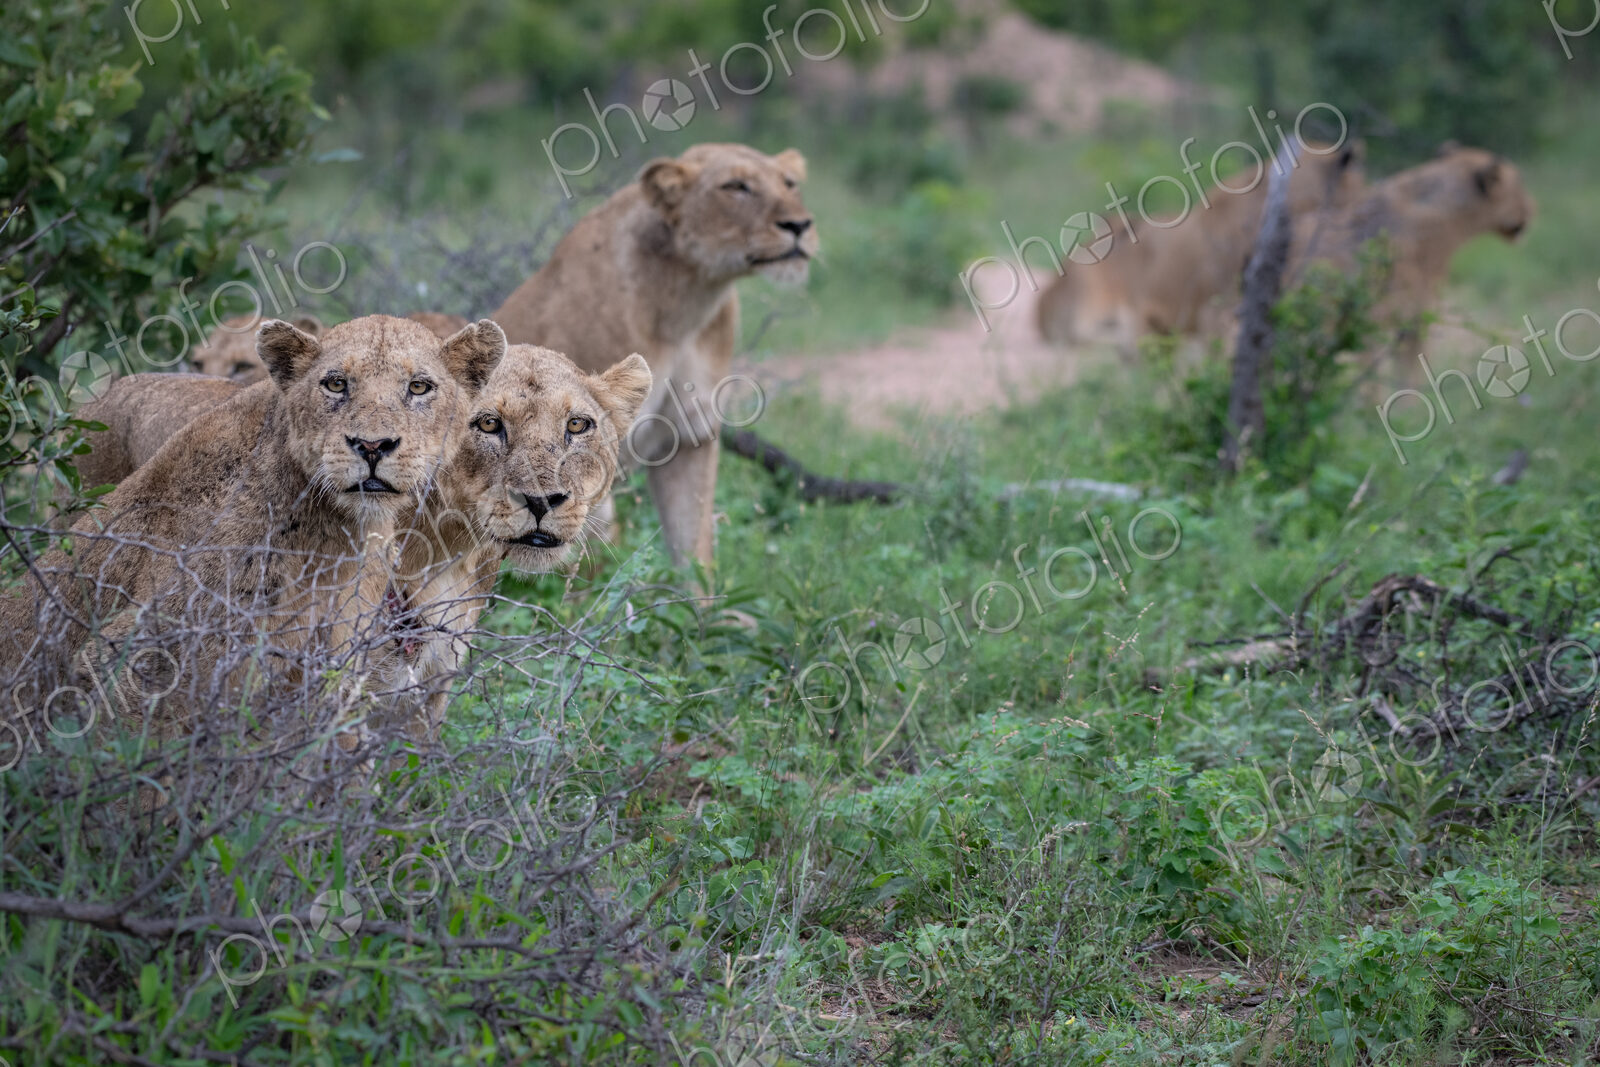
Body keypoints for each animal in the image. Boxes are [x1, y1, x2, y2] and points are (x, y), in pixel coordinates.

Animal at [491, 143, 819, 570]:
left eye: (789, 183)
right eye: (736, 186)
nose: (800, 226)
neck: (688, 298)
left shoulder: (689, 435)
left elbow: (693, 547)